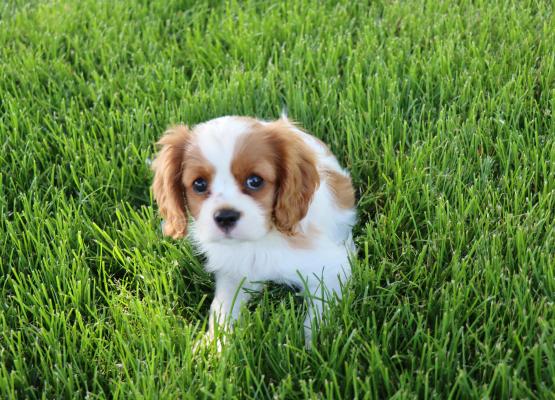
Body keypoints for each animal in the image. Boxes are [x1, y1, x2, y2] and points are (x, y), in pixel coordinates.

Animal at [152, 115, 356, 346]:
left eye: (255, 181)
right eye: (199, 184)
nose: (225, 216)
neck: (262, 240)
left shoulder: (332, 270)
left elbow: (318, 316)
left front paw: (312, 346)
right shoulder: (233, 274)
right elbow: (221, 310)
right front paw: (214, 346)